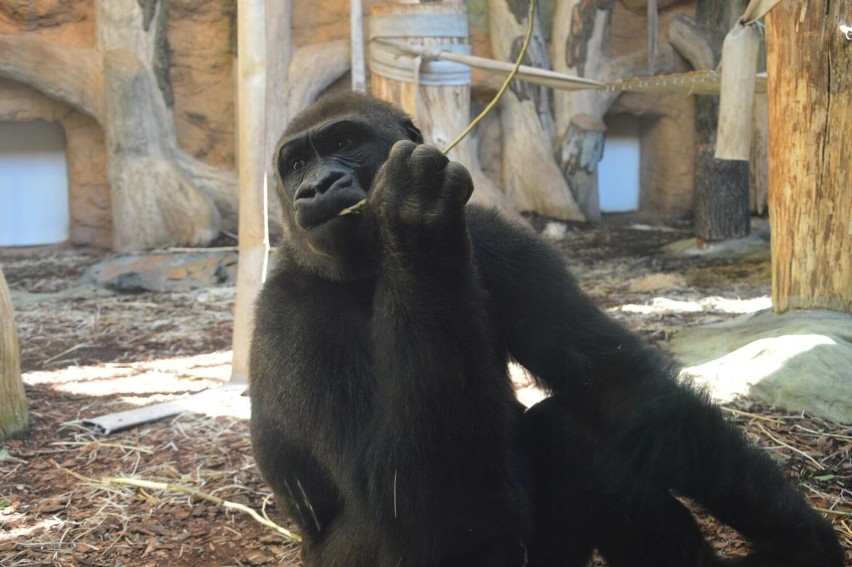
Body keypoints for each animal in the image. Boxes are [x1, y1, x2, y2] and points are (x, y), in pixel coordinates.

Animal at [248, 93, 844, 567]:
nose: (316, 186)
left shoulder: (500, 240)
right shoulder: (288, 319)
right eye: (296, 163)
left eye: (345, 140)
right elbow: (403, 504)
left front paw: (800, 539)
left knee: (570, 431)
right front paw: (413, 214)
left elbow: (623, 388)